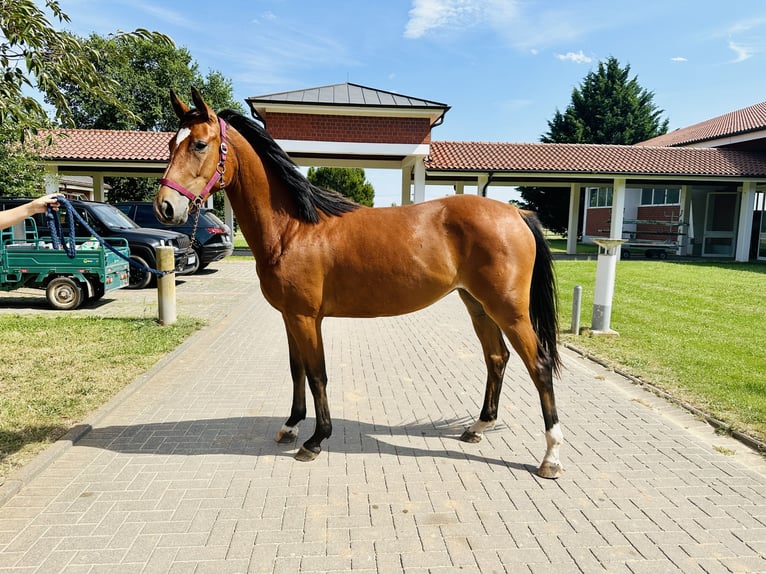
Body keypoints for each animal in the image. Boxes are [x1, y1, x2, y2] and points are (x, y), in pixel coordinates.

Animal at [154, 89, 564, 479]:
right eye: (171, 144)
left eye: (199, 144)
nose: (165, 207)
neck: (294, 229)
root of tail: (516, 212)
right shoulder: (290, 316)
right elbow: (297, 369)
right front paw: (291, 426)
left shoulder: (306, 318)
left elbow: (317, 374)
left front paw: (315, 440)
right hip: (477, 304)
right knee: (497, 358)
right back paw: (478, 427)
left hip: (509, 310)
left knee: (539, 365)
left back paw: (550, 457)